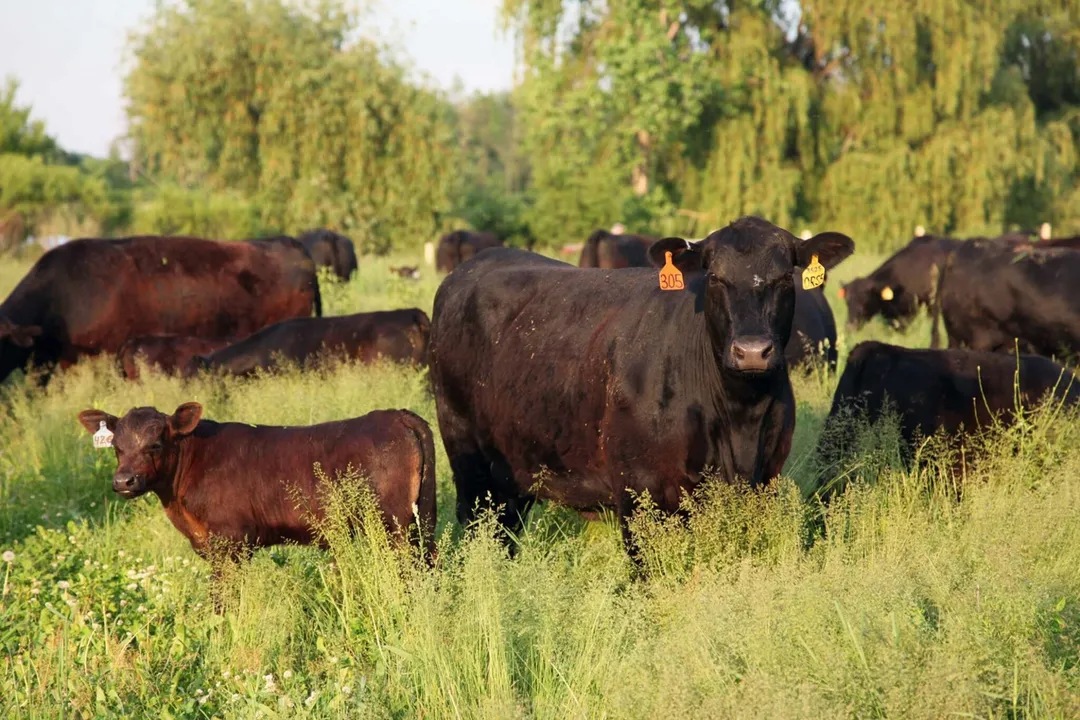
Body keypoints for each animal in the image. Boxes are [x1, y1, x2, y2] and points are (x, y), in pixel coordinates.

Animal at [77, 403, 437, 598]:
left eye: (155, 444)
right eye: (116, 447)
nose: (123, 481)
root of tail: (396, 415)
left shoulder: (231, 541)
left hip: (394, 526)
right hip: (423, 522)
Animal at [429, 216, 854, 561]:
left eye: (784, 279)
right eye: (715, 277)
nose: (752, 351)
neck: (740, 415)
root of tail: (478, 262)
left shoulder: (764, 478)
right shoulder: (640, 489)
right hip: (468, 458)